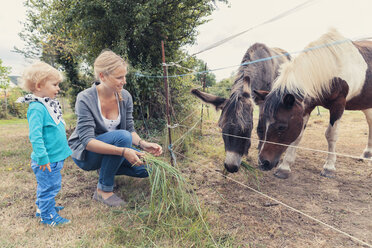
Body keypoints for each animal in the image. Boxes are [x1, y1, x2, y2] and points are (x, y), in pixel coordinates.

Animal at [258, 28, 372, 178]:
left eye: (282, 127)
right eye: (263, 123)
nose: (263, 163)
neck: (331, 67)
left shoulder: (338, 104)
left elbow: (331, 135)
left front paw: (329, 167)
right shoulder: (306, 107)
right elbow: (298, 136)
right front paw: (285, 167)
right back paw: (367, 153)